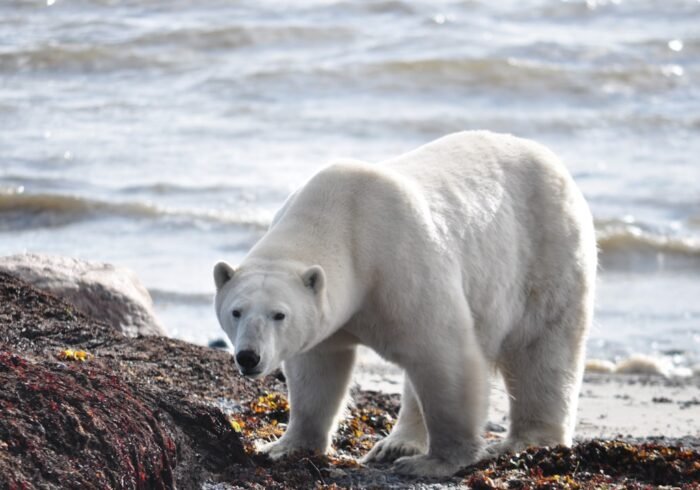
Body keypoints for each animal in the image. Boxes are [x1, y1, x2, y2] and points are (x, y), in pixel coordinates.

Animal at [212, 132, 596, 476]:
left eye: (279, 315)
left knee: (541, 350)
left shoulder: (400, 265)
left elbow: (443, 354)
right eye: (236, 312)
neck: (343, 221)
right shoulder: (331, 314)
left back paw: (530, 440)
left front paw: (435, 463)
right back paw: (396, 444)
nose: (249, 357)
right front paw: (284, 447)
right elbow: (318, 370)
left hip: (546, 251)